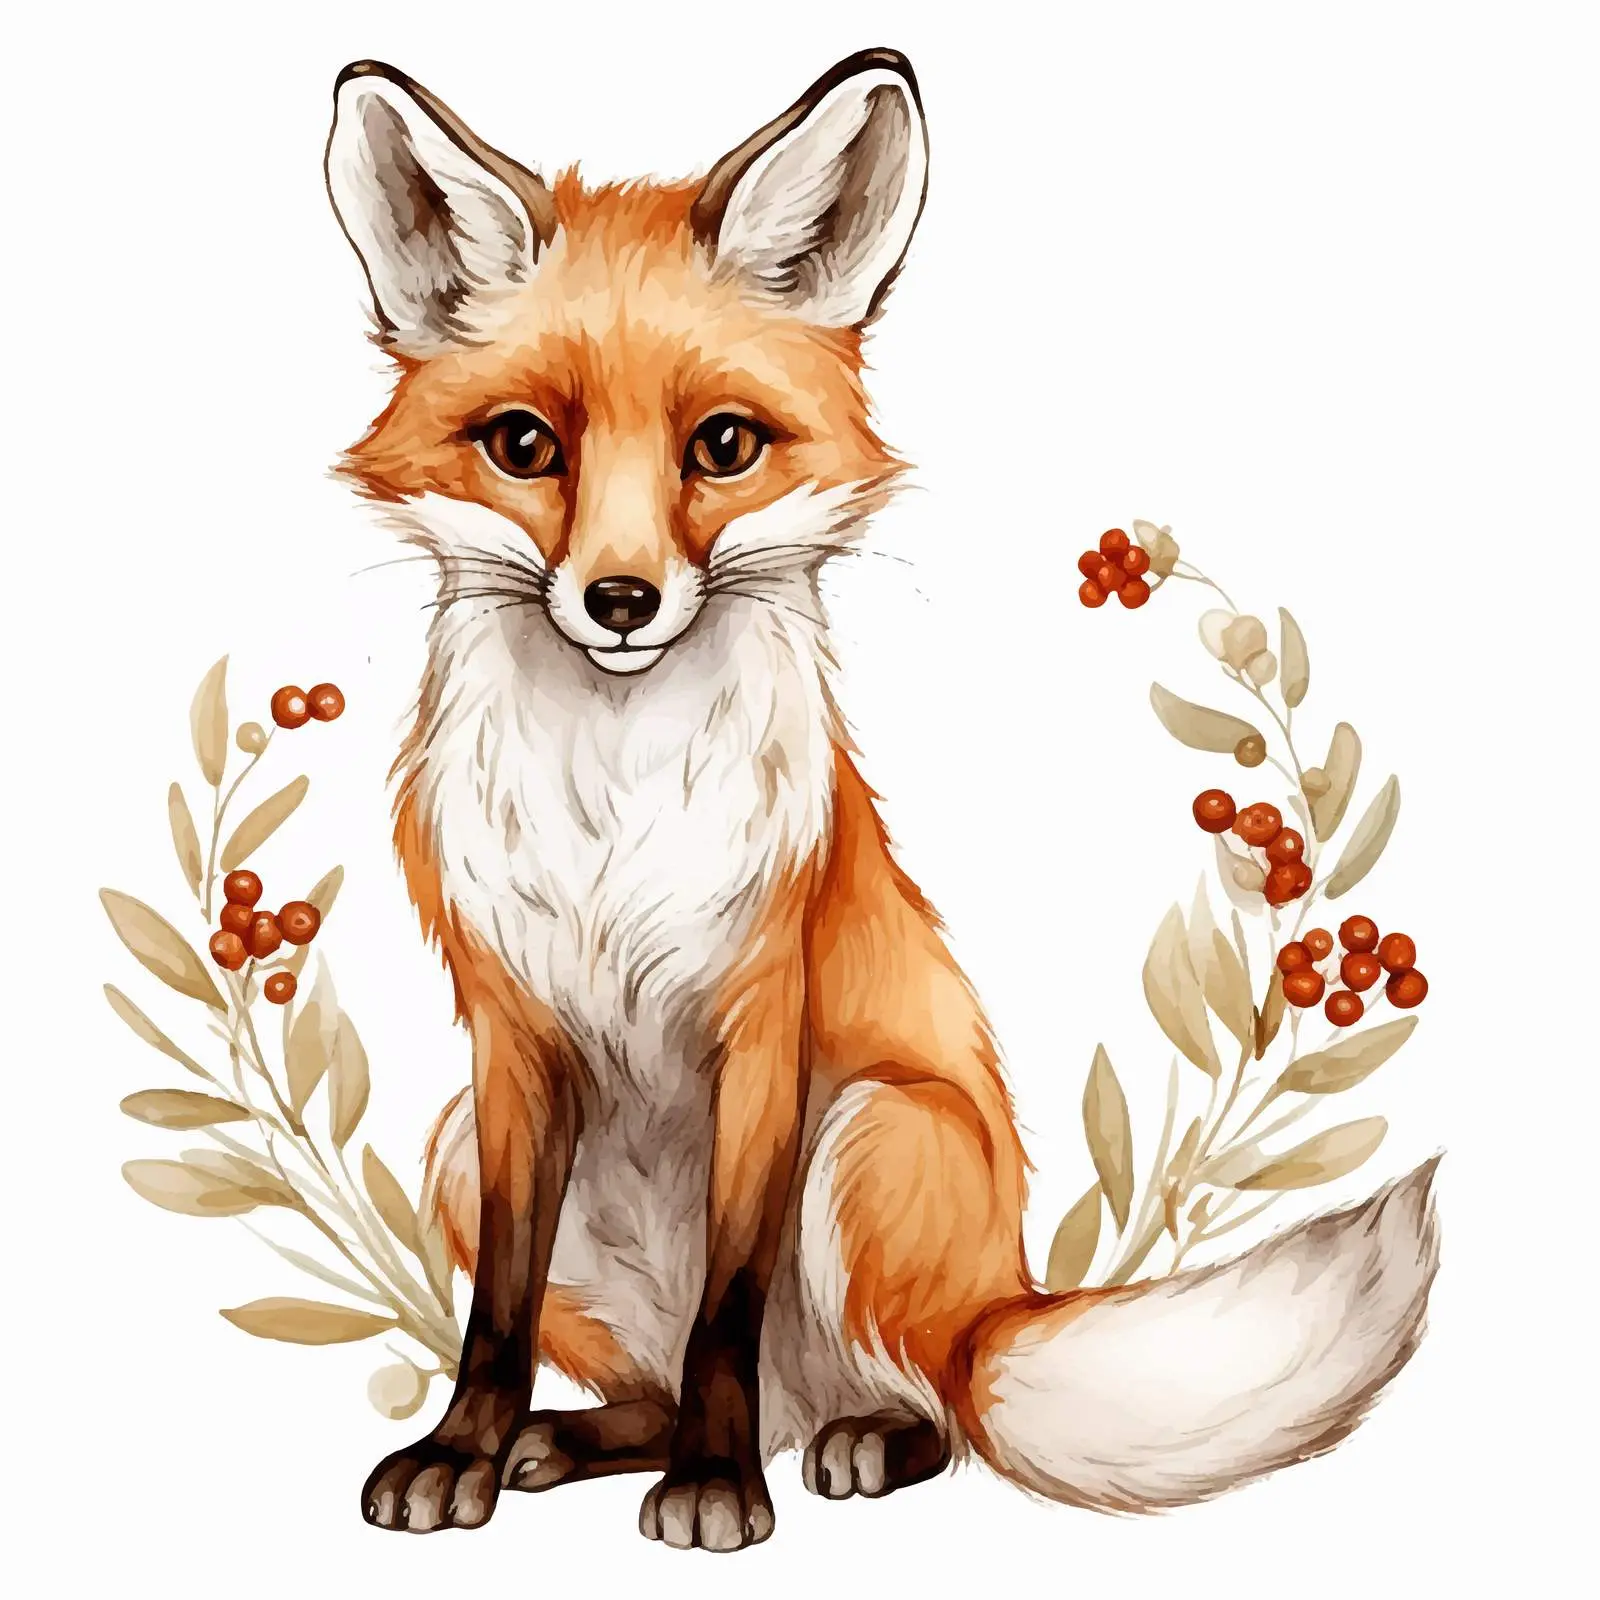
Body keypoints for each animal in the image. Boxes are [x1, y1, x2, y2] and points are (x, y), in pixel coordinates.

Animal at [324, 49, 1439, 1550]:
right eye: (521, 444)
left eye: (721, 445)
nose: (620, 601)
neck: (614, 816)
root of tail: (991, 1309)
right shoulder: (508, 1038)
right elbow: (495, 1306)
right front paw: (465, 1451)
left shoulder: (763, 1019)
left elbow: (727, 1308)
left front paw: (715, 1492)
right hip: (455, 1148)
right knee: (679, 1390)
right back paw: (577, 1439)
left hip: (872, 1134)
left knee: (923, 1411)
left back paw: (839, 1442)